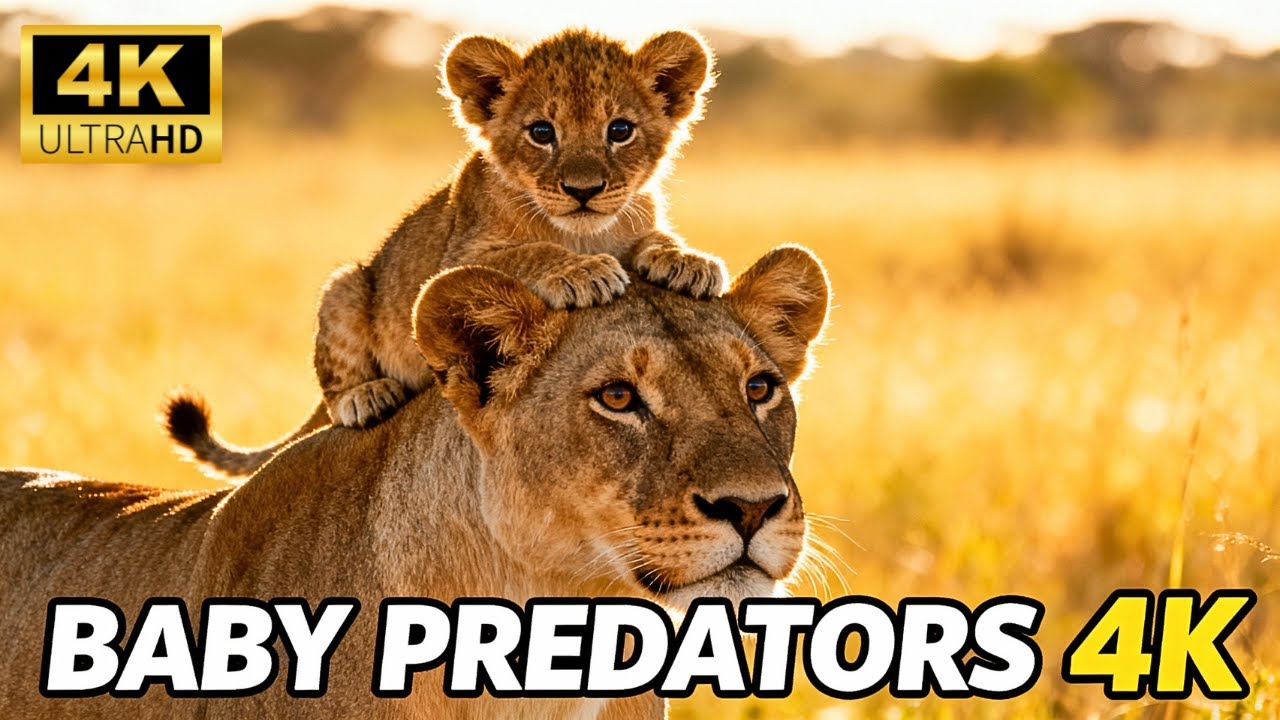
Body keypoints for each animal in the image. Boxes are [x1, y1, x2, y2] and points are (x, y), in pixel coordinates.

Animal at [164, 28, 726, 478]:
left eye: (620, 130)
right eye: (542, 132)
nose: (583, 190)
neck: (582, 231)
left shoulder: (640, 217)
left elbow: (656, 237)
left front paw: (689, 263)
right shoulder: (458, 256)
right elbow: (530, 252)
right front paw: (582, 272)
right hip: (348, 285)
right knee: (336, 378)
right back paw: (365, 396)